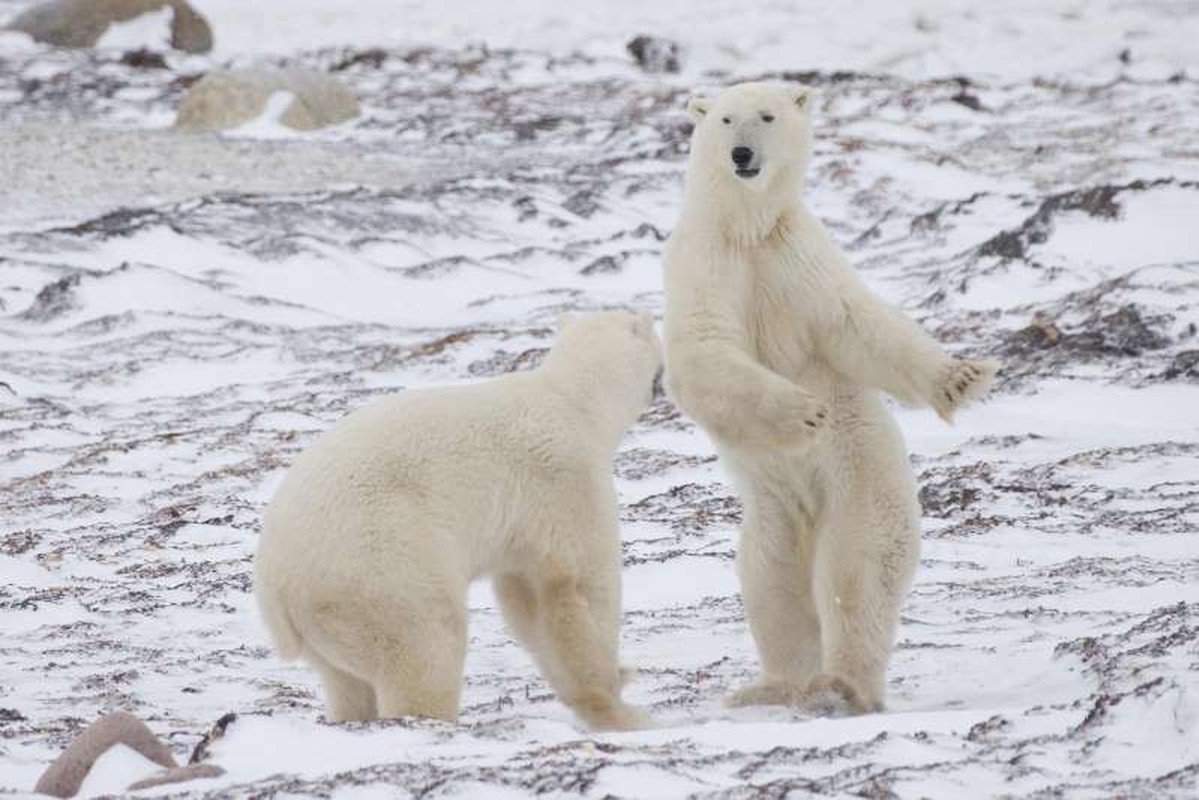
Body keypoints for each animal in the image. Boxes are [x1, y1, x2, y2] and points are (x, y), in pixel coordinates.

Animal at [254, 311, 661, 734]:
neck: (572, 400)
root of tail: (276, 587)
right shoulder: (564, 479)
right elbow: (577, 585)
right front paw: (624, 707)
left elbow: (526, 599)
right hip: (382, 566)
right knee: (429, 643)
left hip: (330, 620)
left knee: (346, 681)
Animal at [661, 81, 997, 714]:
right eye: (725, 120)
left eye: (766, 116)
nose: (742, 154)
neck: (749, 227)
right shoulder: (706, 261)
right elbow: (705, 348)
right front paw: (802, 410)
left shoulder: (796, 257)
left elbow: (855, 323)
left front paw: (960, 378)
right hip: (772, 503)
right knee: (770, 576)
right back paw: (775, 686)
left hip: (861, 475)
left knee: (856, 571)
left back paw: (840, 686)